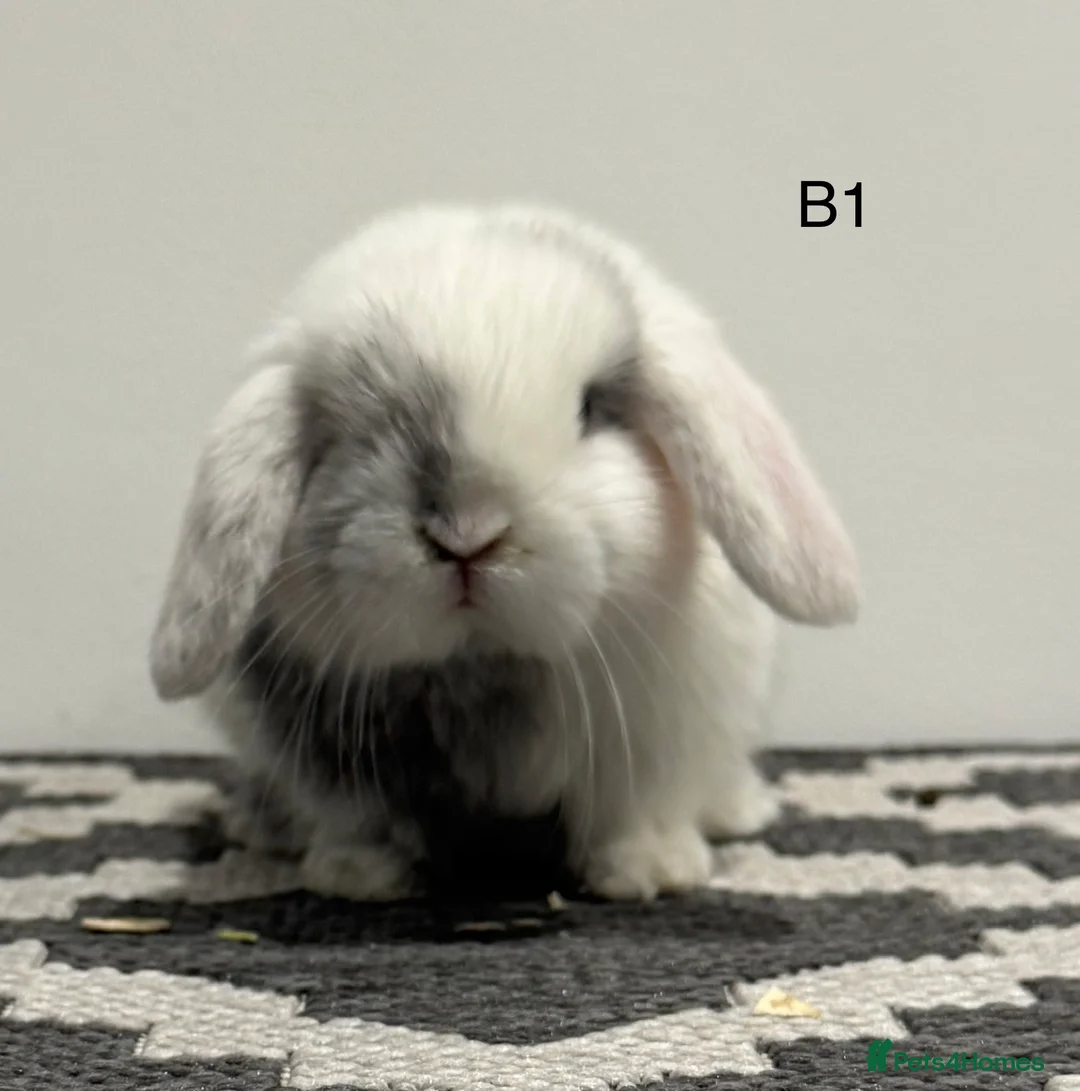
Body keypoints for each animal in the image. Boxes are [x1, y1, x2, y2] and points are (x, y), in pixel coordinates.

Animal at [148, 204, 859, 902]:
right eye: (345, 432)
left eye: (591, 409)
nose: (468, 535)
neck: (487, 665)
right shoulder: (326, 749)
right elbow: (358, 819)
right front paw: (354, 878)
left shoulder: (657, 731)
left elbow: (634, 808)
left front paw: (650, 872)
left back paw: (738, 811)